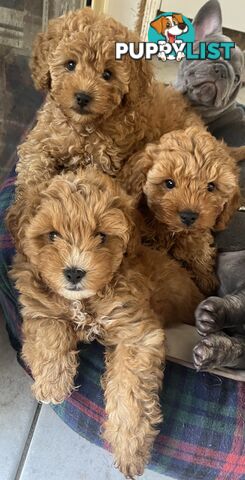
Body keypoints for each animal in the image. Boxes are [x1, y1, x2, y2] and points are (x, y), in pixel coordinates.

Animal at [6, 168, 203, 476]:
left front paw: (129, 448)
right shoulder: (39, 306)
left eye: (101, 235)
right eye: (52, 235)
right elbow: (50, 332)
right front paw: (52, 384)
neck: (83, 300)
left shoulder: (137, 332)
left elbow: (130, 390)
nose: (74, 273)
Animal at [15, 6, 203, 196]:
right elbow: (33, 164)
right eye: (70, 64)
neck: (82, 127)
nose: (83, 97)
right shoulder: (40, 139)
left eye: (107, 74)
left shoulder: (105, 162)